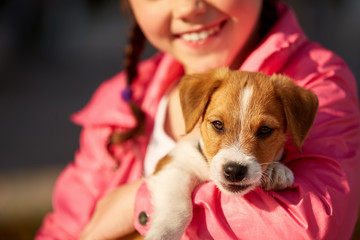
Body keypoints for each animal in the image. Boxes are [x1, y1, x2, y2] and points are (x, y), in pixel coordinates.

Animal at [142, 68, 320, 240]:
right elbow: (178, 210)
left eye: (265, 130)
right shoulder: (173, 166)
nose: (234, 171)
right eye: (218, 124)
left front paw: (277, 170)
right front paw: (161, 234)